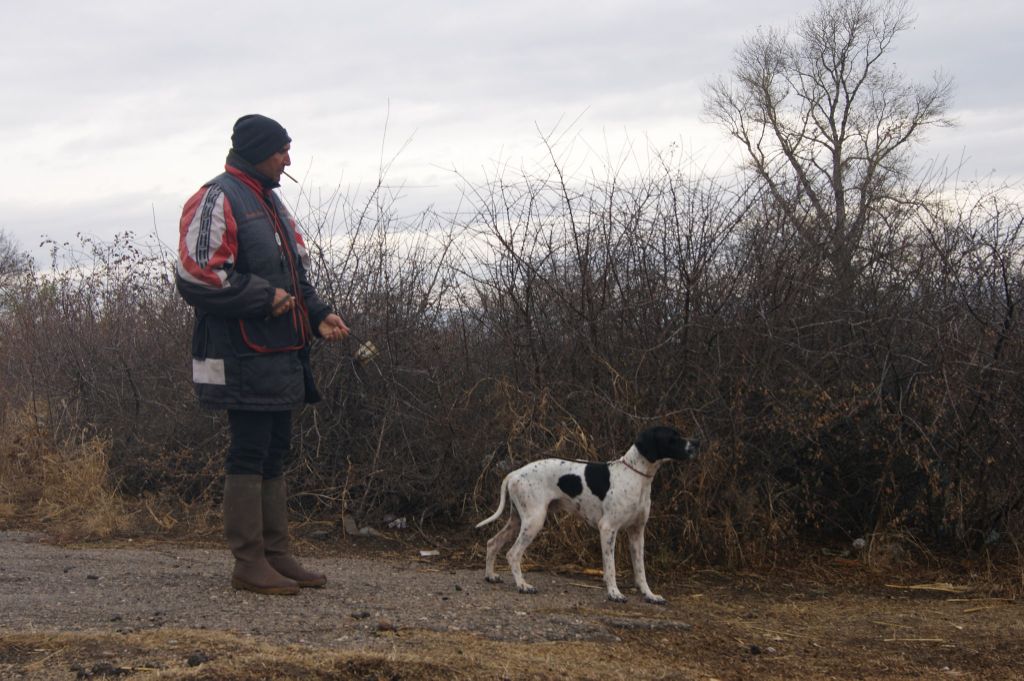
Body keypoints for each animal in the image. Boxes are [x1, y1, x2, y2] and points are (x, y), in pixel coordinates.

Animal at [475, 428, 700, 602]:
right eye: (672, 437)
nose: (697, 443)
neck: (635, 476)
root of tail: (514, 474)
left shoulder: (637, 532)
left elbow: (640, 570)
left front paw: (649, 595)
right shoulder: (608, 529)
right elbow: (610, 567)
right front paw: (614, 593)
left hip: (518, 521)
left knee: (493, 543)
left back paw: (490, 575)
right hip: (534, 521)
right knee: (513, 554)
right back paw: (523, 585)